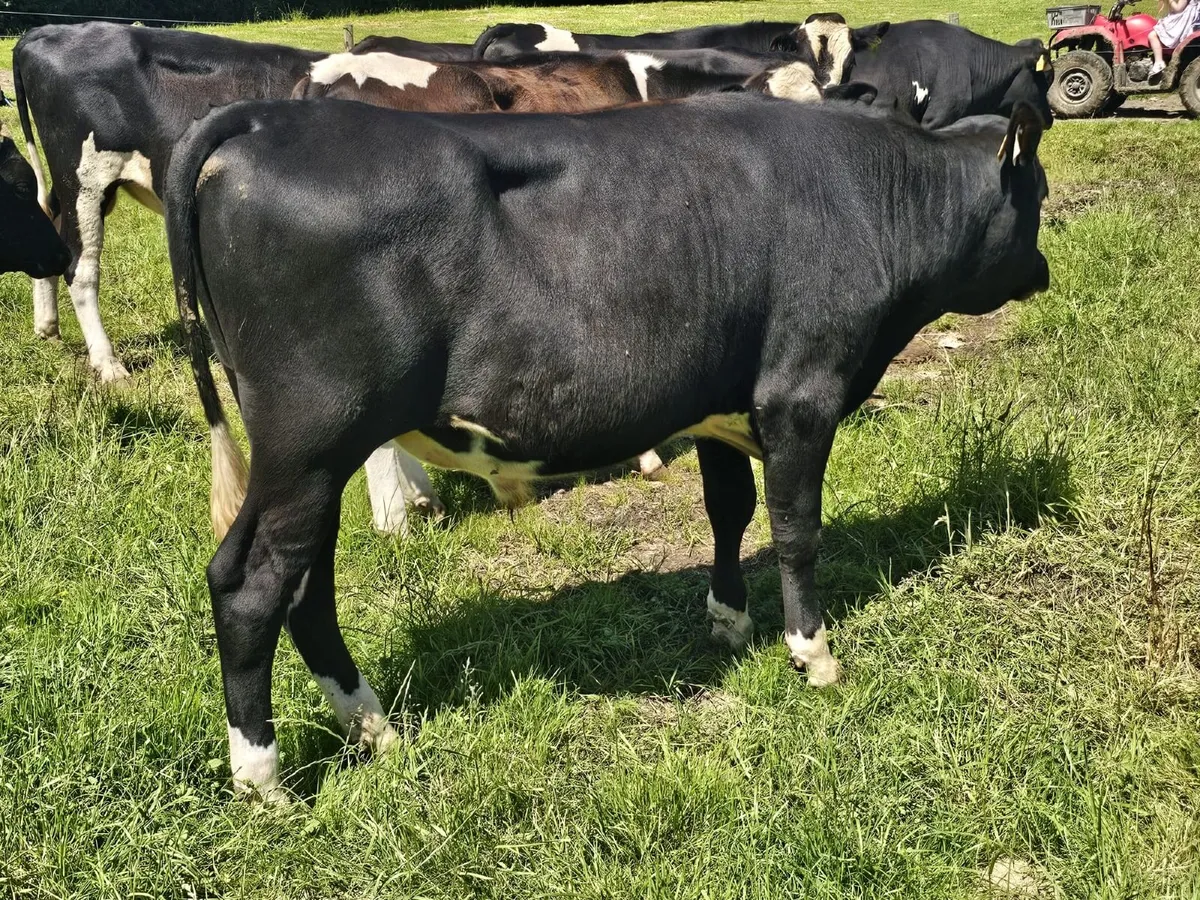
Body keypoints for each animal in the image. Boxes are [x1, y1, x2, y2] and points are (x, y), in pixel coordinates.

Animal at [14, 22, 444, 536]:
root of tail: (46, 31)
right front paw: (399, 509)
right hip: (85, 174)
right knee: (81, 265)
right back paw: (107, 363)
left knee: (50, 230)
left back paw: (47, 327)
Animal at [164, 92, 1050, 800]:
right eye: (1037, 193)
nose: (1043, 270)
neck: (868, 197)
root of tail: (268, 116)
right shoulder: (801, 395)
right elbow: (796, 529)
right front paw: (814, 652)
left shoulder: (719, 406)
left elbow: (729, 511)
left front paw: (729, 620)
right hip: (310, 440)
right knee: (252, 586)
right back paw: (266, 781)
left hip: (309, 458)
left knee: (303, 583)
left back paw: (374, 729)